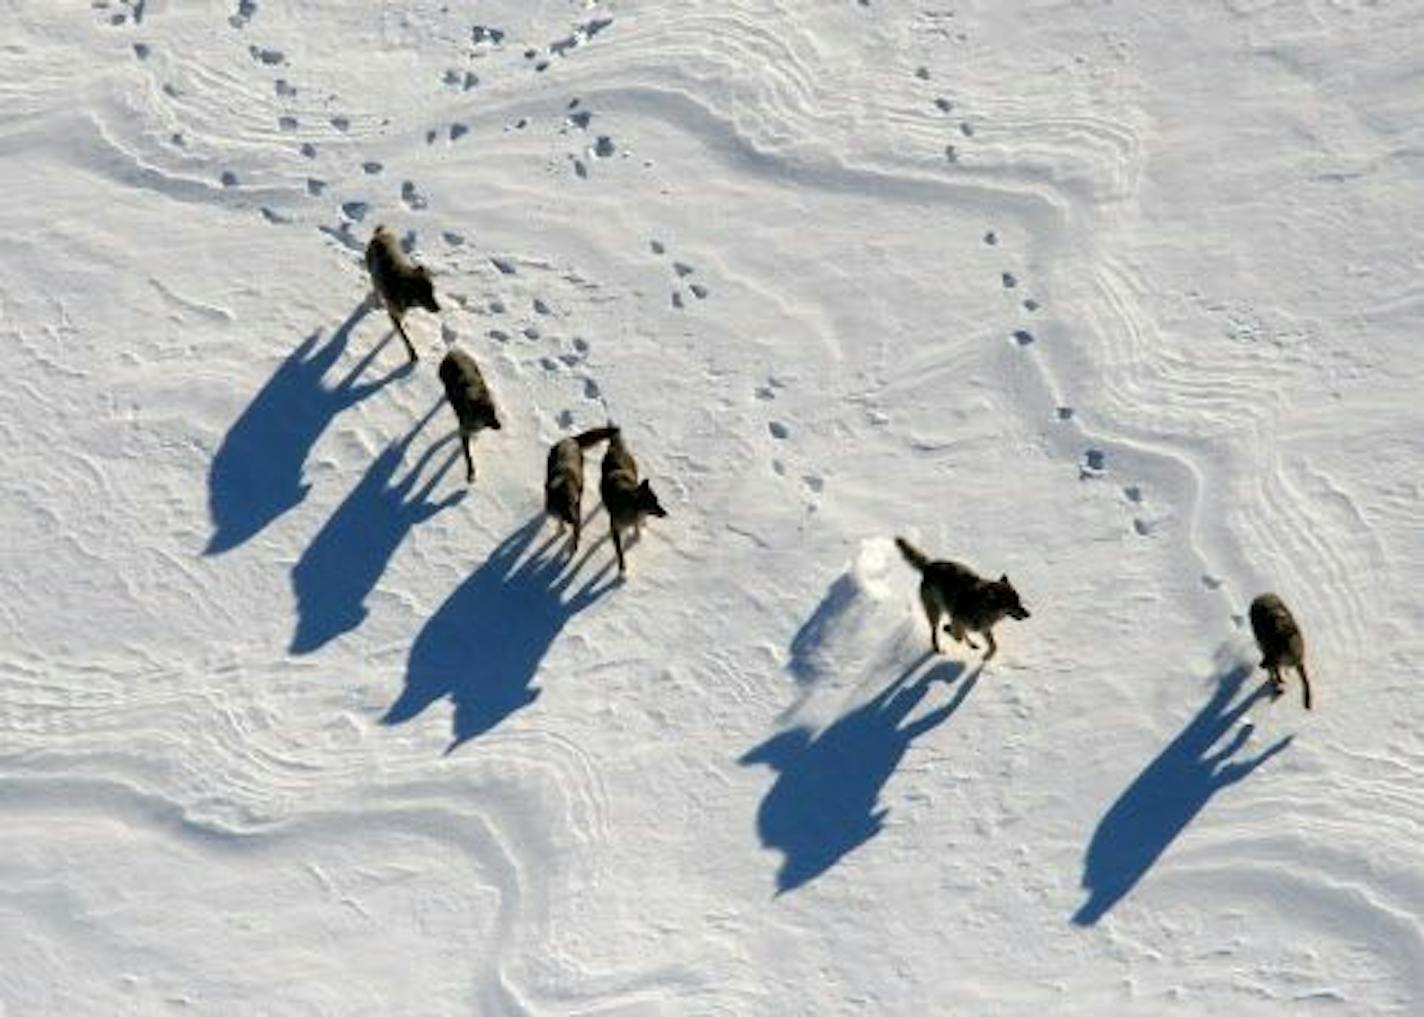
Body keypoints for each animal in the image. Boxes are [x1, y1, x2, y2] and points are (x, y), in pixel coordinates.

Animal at [364, 223, 435, 361]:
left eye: (432, 292)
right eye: (423, 295)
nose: (439, 309)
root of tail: (380, 233)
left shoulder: (399, 312)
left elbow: (401, 325)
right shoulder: (392, 314)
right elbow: (405, 337)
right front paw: (412, 354)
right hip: (372, 272)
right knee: (375, 287)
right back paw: (377, 302)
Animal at [435, 348, 504, 478]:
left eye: (494, 413)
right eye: (488, 417)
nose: (500, 426)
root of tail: (452, 351)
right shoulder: (464, 432)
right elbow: (468, 456)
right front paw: (470, 472)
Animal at [543, 421, 618, 555]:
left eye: (572, 503)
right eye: (561, 506)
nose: (573, 521)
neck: (562, 481)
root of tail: (570, 439)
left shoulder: (577, 510)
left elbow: (575, 536)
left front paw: (573, 551)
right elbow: (560, 522)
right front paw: (561, 531)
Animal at [600, 424, 666, 569]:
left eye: (657, 500)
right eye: (652, 503)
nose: (666, 513)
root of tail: (616, 448)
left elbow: (637, 527)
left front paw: (638, 534)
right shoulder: (615, 529)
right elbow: (619, 551)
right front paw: (622, 567)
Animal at [894, 535, 1030, 660]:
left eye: (1018, 601)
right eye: (1012, 604)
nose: (1028, 614)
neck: (982, 607)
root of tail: (929, 565)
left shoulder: (983, 628)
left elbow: (994, 646)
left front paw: (986, 657)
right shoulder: (962, 621)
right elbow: (958, 636)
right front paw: (948, 630)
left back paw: (971, 643)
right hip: (935, 613)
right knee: (935, 633)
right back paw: (939, 647)